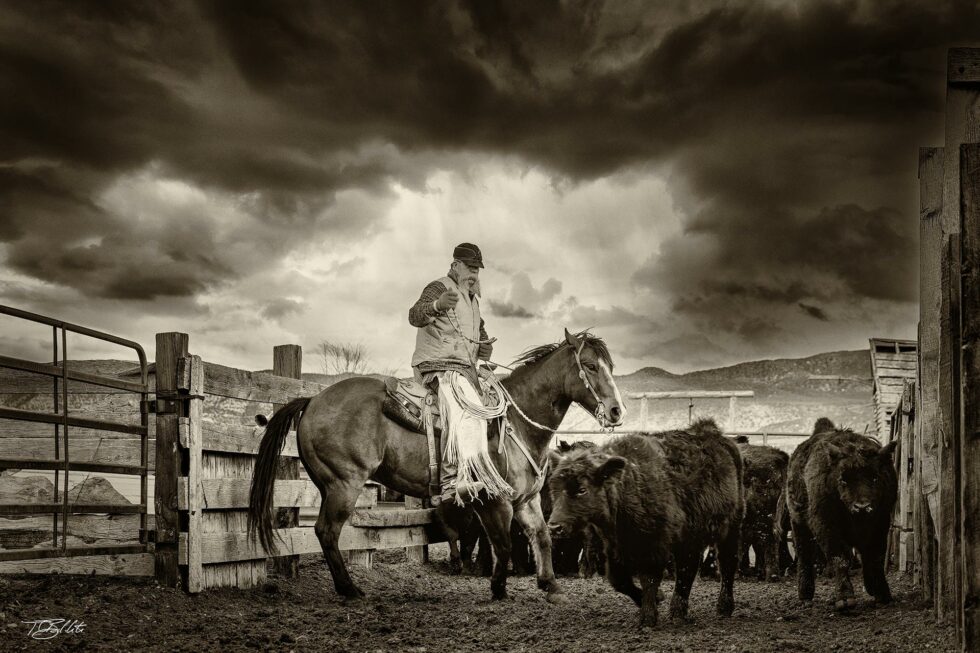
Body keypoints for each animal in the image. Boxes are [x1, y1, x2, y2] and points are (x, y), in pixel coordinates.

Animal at [249, 332, 624, 600]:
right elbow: (501, 543)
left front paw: (549, 585)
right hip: (344, 484)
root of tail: (312, 399)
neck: (515, 421)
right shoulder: (493, 500)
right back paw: (349, 589)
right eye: (590, 366)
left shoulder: (526, 500)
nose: (617, 411)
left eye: (611, 367)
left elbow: (541, 536)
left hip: (329, 484)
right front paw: (498, 589)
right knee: (326, 531)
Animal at [544, 418, 744, 628]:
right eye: (554, 488)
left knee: (727, 563)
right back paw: (678, 611)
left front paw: (648, 616)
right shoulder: (614, 547)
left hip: (731, 527)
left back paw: (724, 607)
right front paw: (655, 599)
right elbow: (618, 580)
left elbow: (649, 579)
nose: (554, 527)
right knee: (687, 569)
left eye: (582, 489)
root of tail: (712, 432)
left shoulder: (654, 545)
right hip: (690, 536)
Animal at [788, 420, 896, 608]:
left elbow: (874, 557)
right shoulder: (826, 525)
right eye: (843, 479)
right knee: (804, 554)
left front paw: (882, 593)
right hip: (798, 524)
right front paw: (845, 598)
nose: (862, 507)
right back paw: (805, 594)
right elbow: (840, 558)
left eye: (875, 477)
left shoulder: (881, 523)